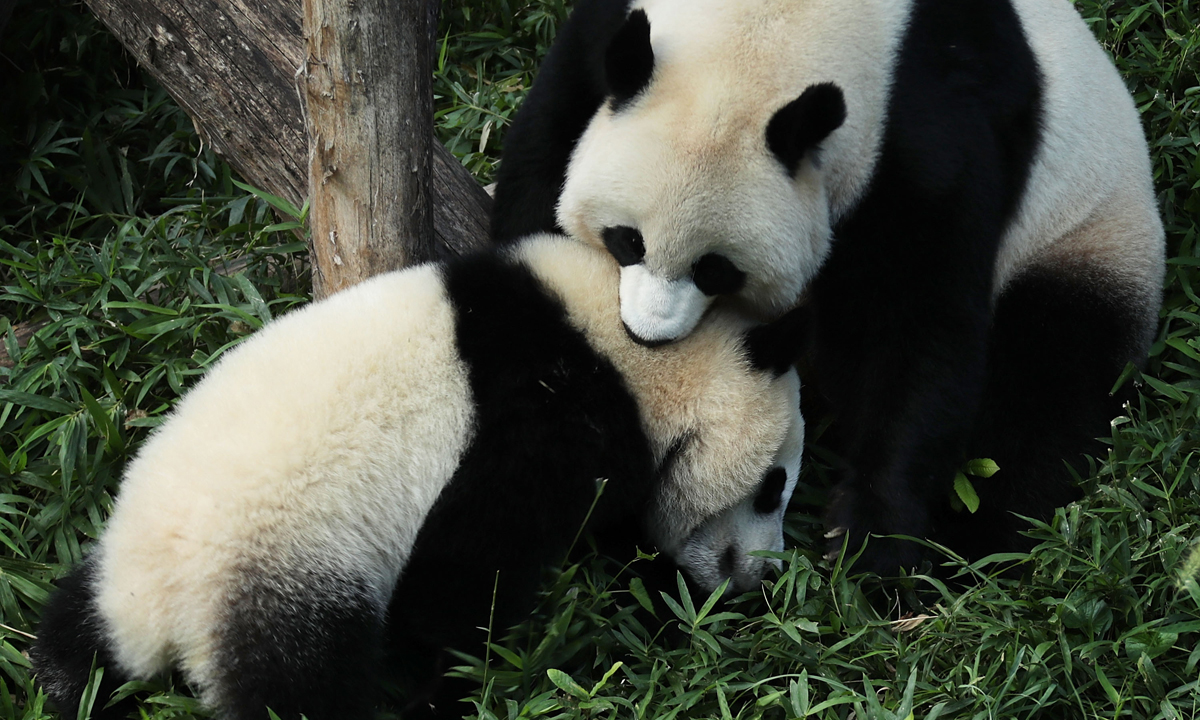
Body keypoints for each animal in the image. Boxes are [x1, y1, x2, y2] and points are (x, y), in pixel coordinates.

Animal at [31, 233, 805, 720]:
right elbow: (469, 568)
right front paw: (446, 686)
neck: (632, 345)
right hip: (285, 566)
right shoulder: (544, 411)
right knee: (299, 685)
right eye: (773, 486)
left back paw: (67, 680)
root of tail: (159, 613)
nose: (762, 574)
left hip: (120, 564)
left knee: (72, 631)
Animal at [490, 0, 1166, 574]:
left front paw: (872, 539)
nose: (647, 335)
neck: (768, 28)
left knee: (1044, 382)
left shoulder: (920, 119)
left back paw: (978, 541)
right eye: (627, 241)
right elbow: (545, 146)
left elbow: (921, 321)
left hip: (1085, 238)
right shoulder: (606, 37)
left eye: (716, 269)